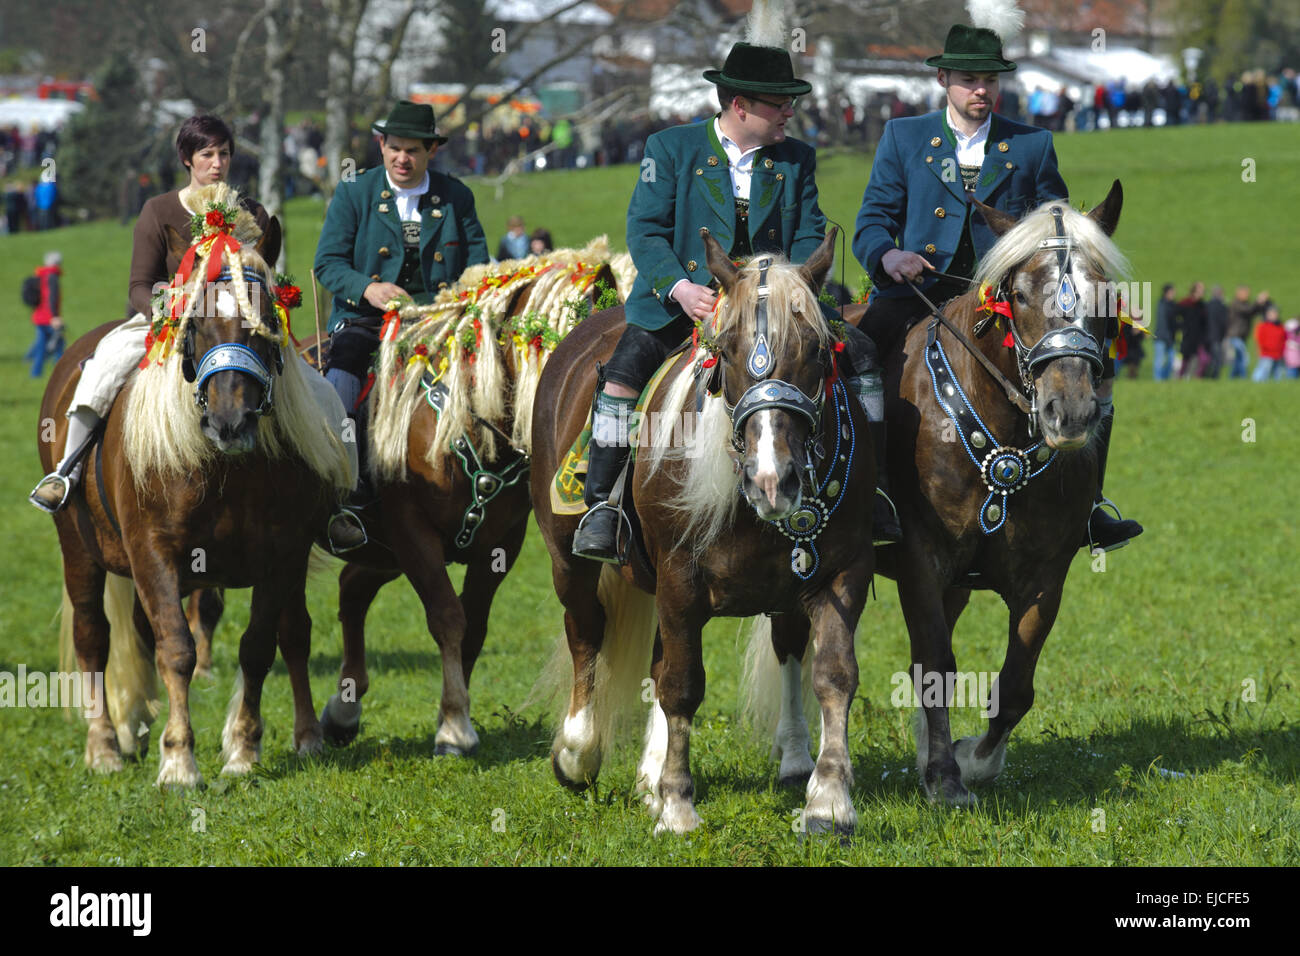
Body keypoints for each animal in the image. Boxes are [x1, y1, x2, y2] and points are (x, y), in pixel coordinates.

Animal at [42, 184, 353, 785]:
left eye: (265, 321)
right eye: (196, 325)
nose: (230, 422)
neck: (227, 470)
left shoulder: (282, 553)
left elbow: (258, 646)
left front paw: (243, 749)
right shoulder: (154, 552)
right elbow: (178, 649)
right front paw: (179, 760)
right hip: (78, 550)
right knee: (95, 636)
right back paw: (105, 746)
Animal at [305, 244, 629, 754]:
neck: (465, 419)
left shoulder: (499, 544)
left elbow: (473, 627)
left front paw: (452, 713)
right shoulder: (411, 531)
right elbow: (447, 618)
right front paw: (455, 725)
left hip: (381, 553)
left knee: (352, 589)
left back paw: (343, 712)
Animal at [533, 226, 878, 837]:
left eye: (817, 352)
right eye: (729, 351)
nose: (773, 480)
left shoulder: (839, 571)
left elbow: (833, 673)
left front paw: (829, 800)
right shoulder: (680, 578)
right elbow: (682, 684)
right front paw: (677, 805)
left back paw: (649, 772)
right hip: (568, 560)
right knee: (587, 633)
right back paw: (577, 753)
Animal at [748, 180, 1133, 806]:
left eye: (1106, 295)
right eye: (1019, 294)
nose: (1069, 410)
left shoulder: (1046, 575)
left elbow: (1015, 683)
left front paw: (968, 759)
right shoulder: (921, 561)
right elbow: (935, 666)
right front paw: (949, 778)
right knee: (790, 642)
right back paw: (796, 756)